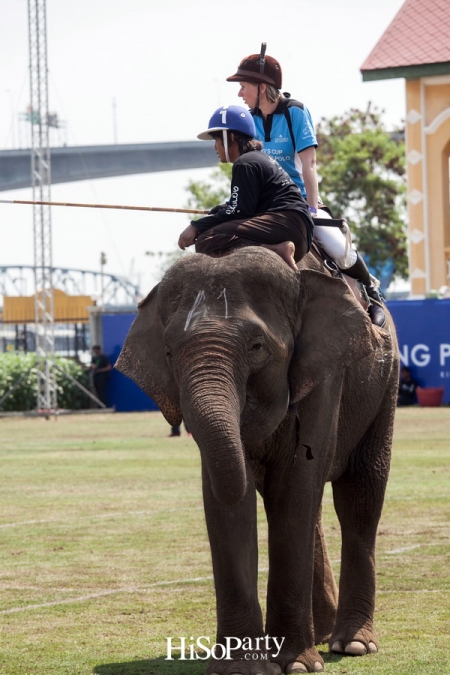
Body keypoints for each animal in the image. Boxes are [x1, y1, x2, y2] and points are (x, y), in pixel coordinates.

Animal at [115, 248, 398, 675]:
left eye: (257, 347)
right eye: (168, 352)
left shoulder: (325, 375)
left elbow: (297, 482)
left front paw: (296, 666)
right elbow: (233, 497)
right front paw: (240, 668)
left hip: (386, 386)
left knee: (359, 496)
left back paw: (352, 644)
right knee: (314, 509)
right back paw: (321, 635)